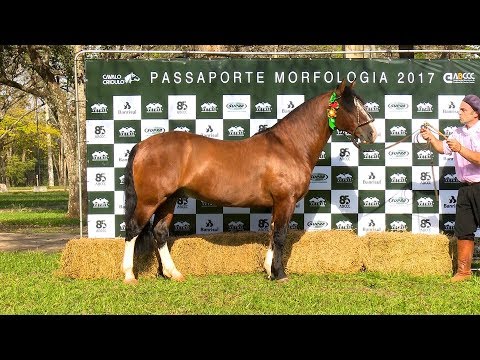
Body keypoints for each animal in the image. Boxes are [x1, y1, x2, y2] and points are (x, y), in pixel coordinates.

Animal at [122, 79, 376, 284]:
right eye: (350, 106)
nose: (372, 133)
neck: (289, 146)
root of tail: (142, 145)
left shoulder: (278, 203)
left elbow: (272, 232)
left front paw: (269, 270)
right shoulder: (285, 200)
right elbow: (281, 234)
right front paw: (280, 274)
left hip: (169, 199)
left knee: (160, 232)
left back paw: (173, 273)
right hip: (149, 200)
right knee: (133, 229)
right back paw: (129, 275)